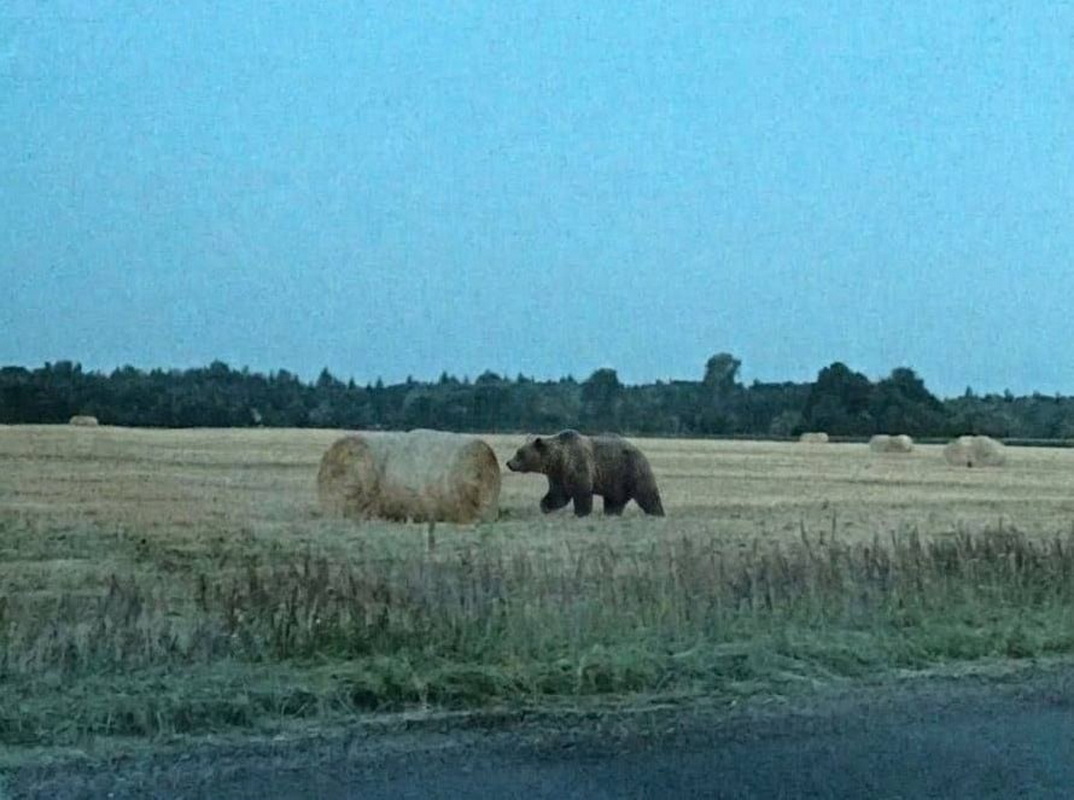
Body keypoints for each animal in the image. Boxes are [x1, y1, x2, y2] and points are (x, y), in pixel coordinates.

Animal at [506, 429, 665, 517]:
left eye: (519, 453)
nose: (509, 463)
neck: (558, 460)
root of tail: (640, 451)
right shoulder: (558, 476)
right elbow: (558, 495)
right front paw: (545, 505)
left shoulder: (578, 465)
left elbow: (581, 492)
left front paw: (581, 513)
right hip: (616, 481)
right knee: (614, 501)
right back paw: (611, 513)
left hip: (632, 470)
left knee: (647, 494)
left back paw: (658, 514)